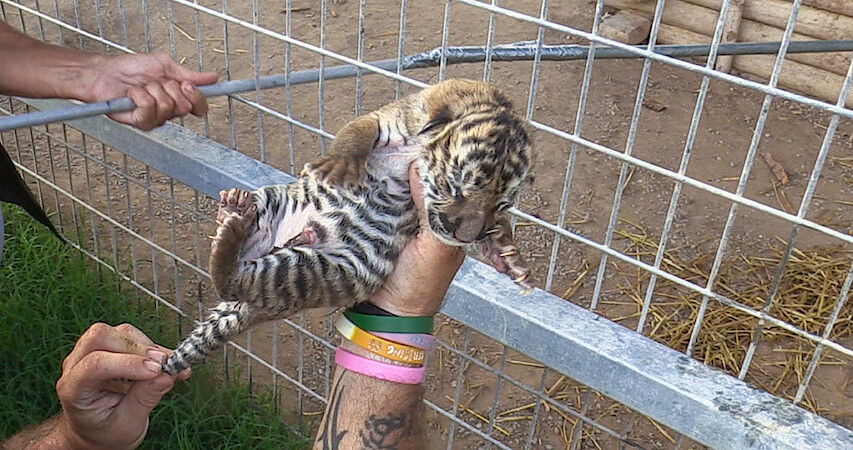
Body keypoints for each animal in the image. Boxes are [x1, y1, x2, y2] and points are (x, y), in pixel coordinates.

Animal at [163, 79, 534, 375]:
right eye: (455, 187)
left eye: (500, 204)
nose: (464, 234)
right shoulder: (388, 118)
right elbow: (357, 131)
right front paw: (337, 166)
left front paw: (508, 255)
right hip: (273, 206)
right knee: (228, 277)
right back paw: (233, 214)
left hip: (320, 270)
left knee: (234, 281)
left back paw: (232, 225)